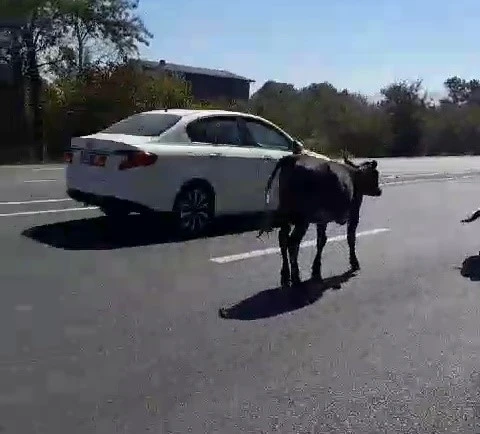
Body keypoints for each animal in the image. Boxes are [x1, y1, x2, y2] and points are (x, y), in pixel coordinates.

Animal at [258, 153, 382, 288]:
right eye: (375, 174)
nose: (379, 191)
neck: (355, 176)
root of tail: (292, 158)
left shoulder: (322, 220)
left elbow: (321, 241)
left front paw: (316, 269)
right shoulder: (354, 214)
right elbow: (351, 238)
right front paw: (354, 263)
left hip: (286, 215)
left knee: (283, 239)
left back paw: (285, 276)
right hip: (302, 219)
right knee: (292, 242)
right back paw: (296, 277)